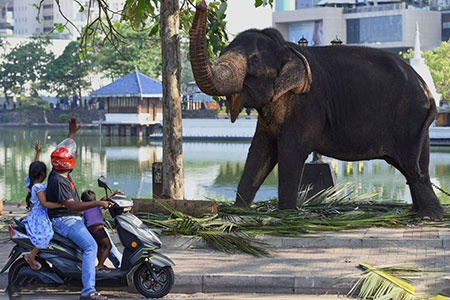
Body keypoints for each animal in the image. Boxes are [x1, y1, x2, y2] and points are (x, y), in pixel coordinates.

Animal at [189, 1, 442, 219]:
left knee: (412, 167)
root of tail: (428, 90)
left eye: (253, 62)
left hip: (409, 117)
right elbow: (259, 149)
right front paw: (238, 210)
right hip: (417, 125)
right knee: (417, 166)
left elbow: (290, 150)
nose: (201, 5)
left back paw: (427, 216)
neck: (288, 49)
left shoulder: (309, 103)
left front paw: (287, 215)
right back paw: (418, 213)